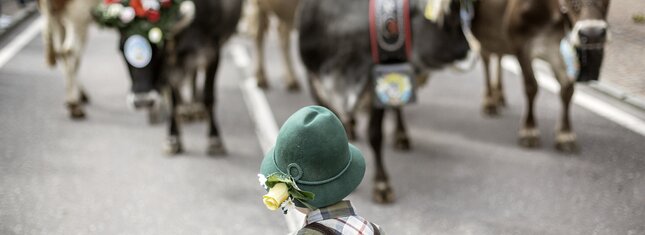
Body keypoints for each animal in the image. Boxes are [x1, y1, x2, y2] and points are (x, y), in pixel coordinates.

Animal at [118, 0, 242, 156]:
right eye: (120, 49)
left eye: (161, 49)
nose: (143, 101)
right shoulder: (170, 67)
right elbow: (174, 102)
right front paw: (173, 139)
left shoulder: (213, 53)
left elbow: (208, 98)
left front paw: (215, 140)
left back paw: (195, 109)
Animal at [296, 0, 468, 202]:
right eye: (450, 19)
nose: (466, 48)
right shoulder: (315, 82)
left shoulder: (376, 85)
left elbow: (375, 135)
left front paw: (382, 184)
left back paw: (401, 136)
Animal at [470, 0, 608, 152]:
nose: (593, 34)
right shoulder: (521, 44)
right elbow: (531, 86)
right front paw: (529, 131)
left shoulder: (563, 49)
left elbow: (567, 90)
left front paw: (565, 134)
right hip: (485, 33)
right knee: (486, 57)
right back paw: (489, 102)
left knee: (500, 56)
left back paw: (499, 95)